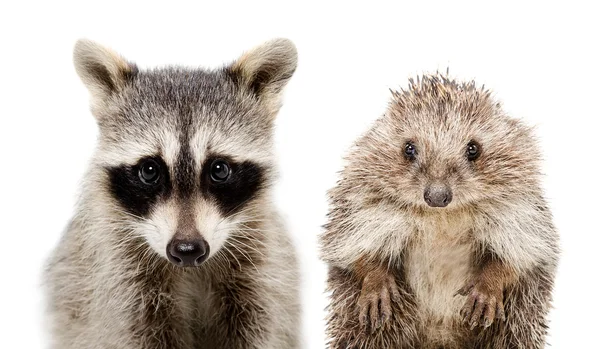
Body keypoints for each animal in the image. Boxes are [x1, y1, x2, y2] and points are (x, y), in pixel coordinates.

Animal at [43, 38, 300, 348]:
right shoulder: (117, 282)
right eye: (149, 170)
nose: (187, 250)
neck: (191, 270)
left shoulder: (263, 275)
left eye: (219, 169)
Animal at [322, 74, 560, 348]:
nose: (437, 196)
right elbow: (354, 246)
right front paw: (377, 286)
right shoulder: (362, 203)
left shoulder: (520, 208)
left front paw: (487, 290)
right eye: (408, 148)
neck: (442, 220)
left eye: (473, 148)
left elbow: (521, 254)